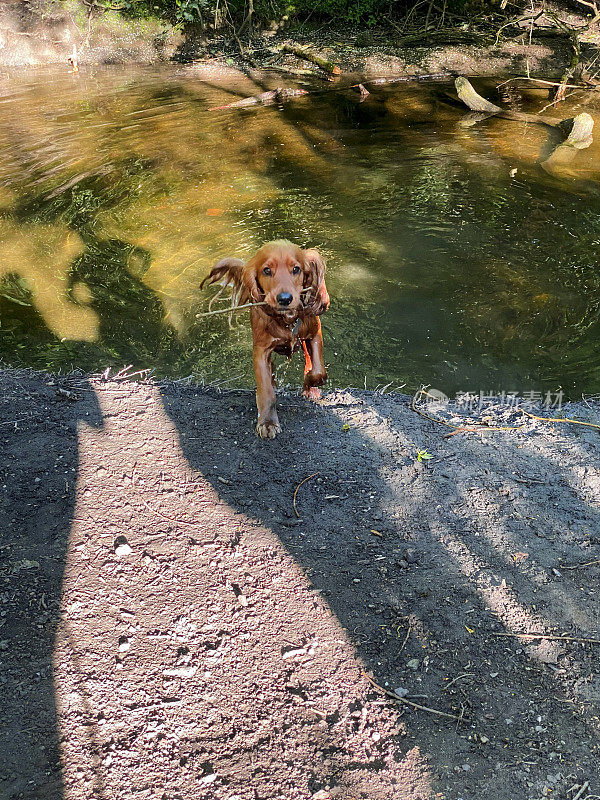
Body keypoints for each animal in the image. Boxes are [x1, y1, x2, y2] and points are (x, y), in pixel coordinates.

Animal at [203, 239, 332, 438]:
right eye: (266, 270)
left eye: (296, 269)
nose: (285, 299)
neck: (286, 321)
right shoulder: (261, 351)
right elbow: (266, 390)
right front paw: (267, 422)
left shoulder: (314, 333)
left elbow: (318, 371)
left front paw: (309, 385)